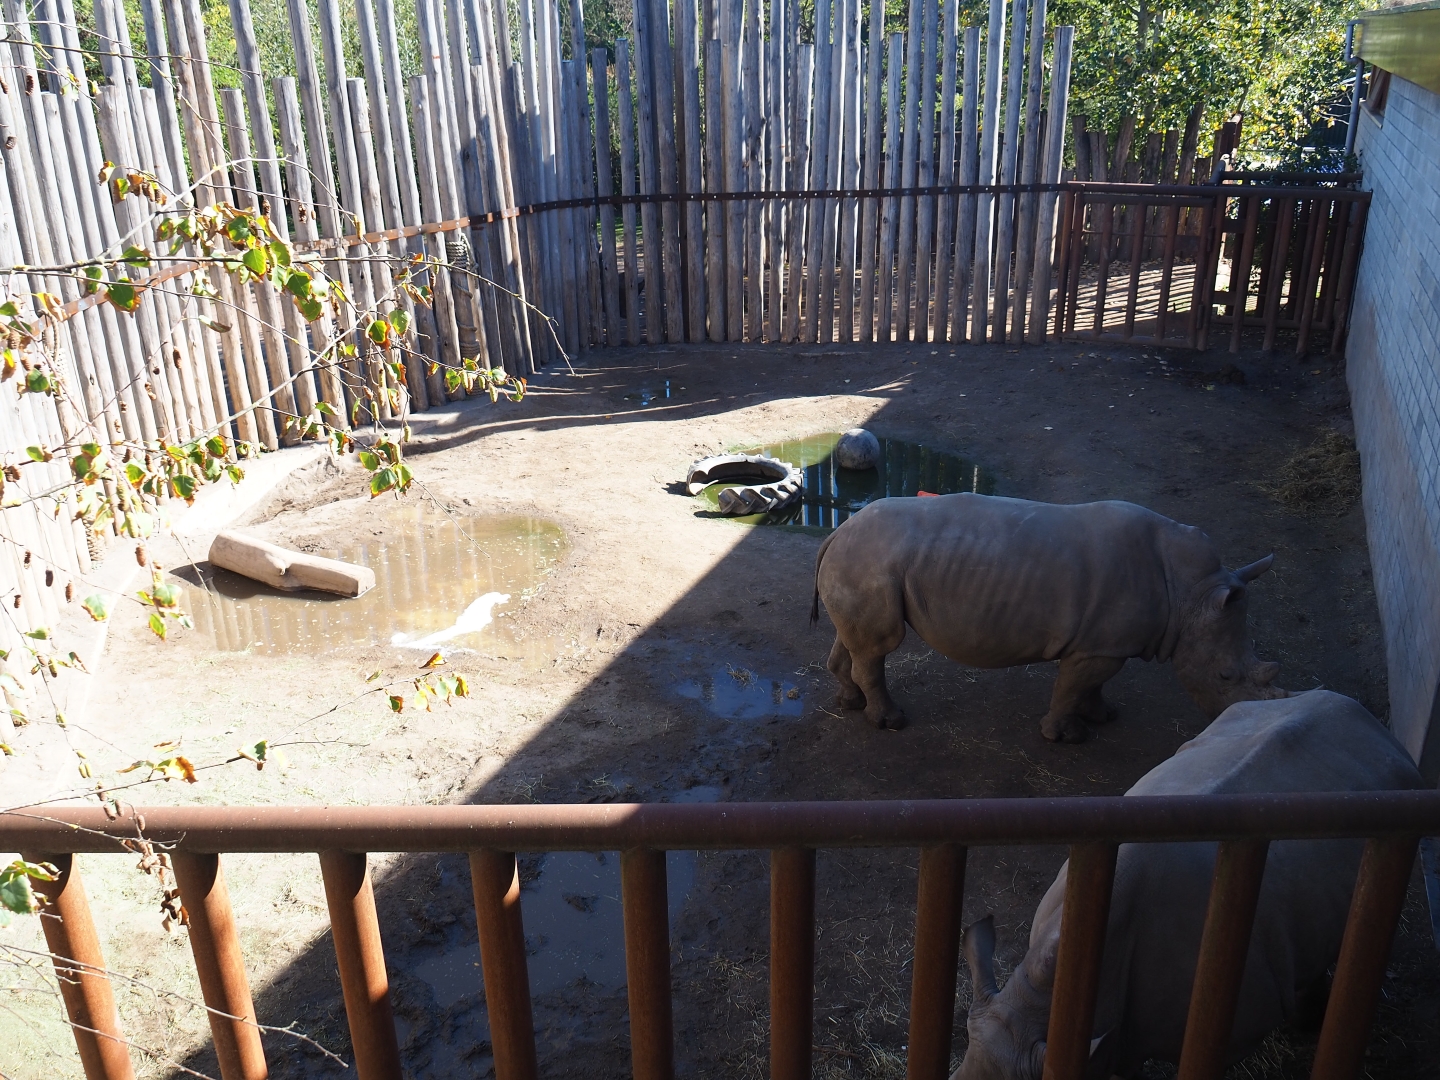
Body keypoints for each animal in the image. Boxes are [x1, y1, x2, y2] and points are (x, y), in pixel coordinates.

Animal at [810, 494, 1283, 739]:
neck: (1192, 594)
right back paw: (891, 722)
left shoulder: (1105, 643)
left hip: (862, 564)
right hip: (871, 562)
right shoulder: (1098, 647)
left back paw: (850, 703)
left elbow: (1092, 686)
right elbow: (1071, 688)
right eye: (1224, 676)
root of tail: (837, 531)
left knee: (855, 640)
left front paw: (1103, 716)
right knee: (880, 645)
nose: (1240, 719)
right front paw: (1065, 736)